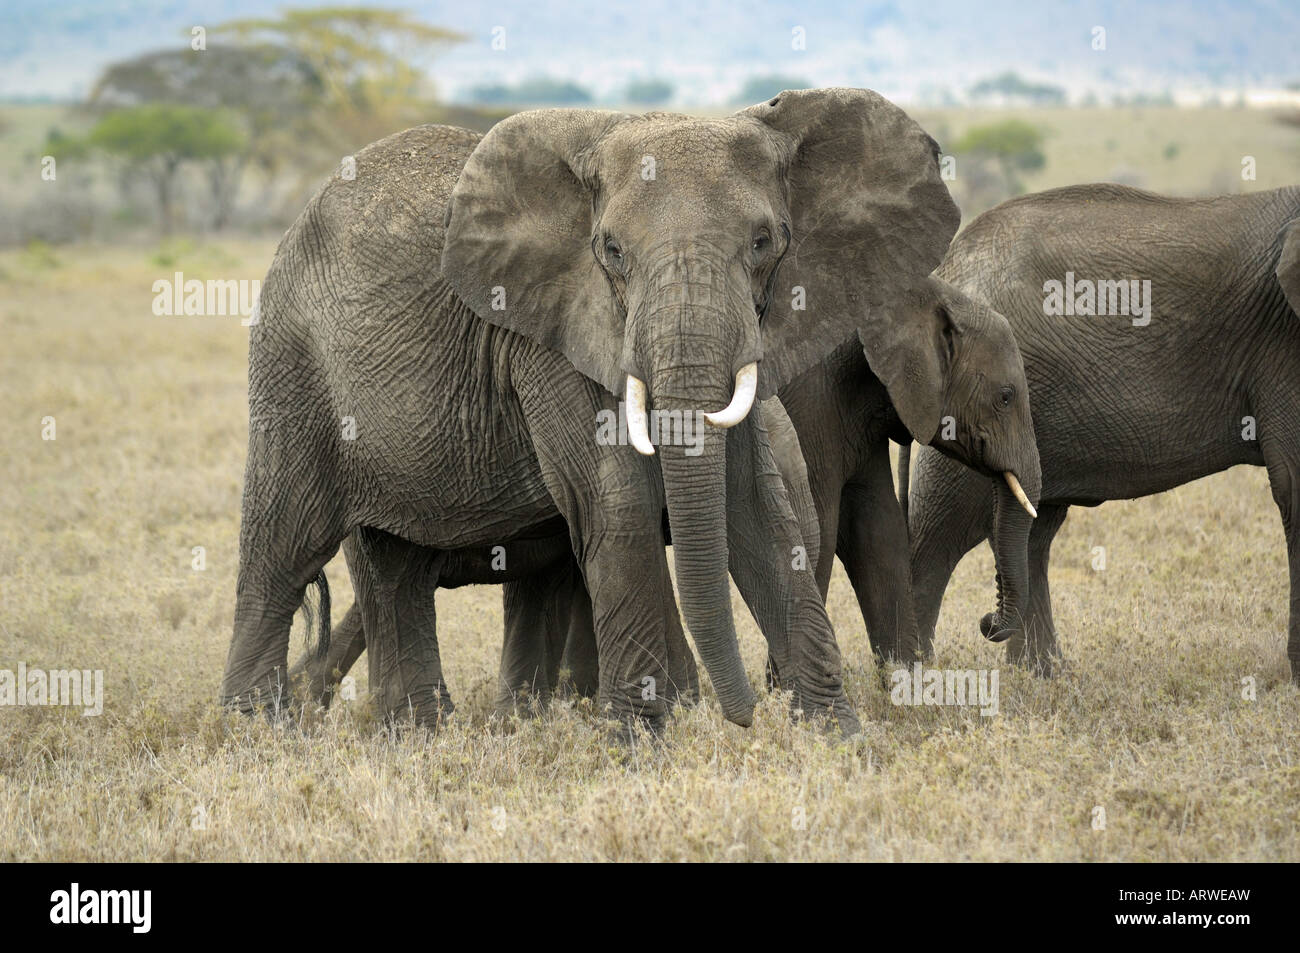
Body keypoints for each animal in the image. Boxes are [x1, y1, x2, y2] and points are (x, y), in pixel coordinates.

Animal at [218, 89, 961, 733]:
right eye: (612, 250)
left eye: (762, 242)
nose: (745, 714)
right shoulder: (548, 329)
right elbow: (616, 503)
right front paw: (640, 745)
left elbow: (757, 505)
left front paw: (837, 740)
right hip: (291, 363)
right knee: (282, 552)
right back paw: (255, 736)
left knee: (392, 566)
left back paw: (419, 737)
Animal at [899, 184, 1300, 676]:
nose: (985, 623)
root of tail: (949, 263)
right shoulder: (1284, 342)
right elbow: (1295, 484)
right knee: (941, 531)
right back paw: (912, 674)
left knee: (1033, 528)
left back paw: (1044, 675)